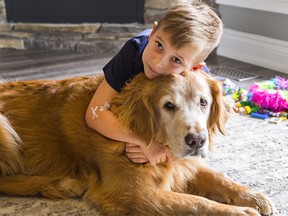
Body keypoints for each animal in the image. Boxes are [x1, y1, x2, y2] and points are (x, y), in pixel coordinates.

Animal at [0, 70, 274, 214]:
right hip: (5, 128)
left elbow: (218, 178)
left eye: (203, 102)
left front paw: (252, 195)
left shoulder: (184, 165)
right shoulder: (132, 193)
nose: (197, 140)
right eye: (168, 106)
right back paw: (62, 184)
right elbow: (197, 203)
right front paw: (240, 211)